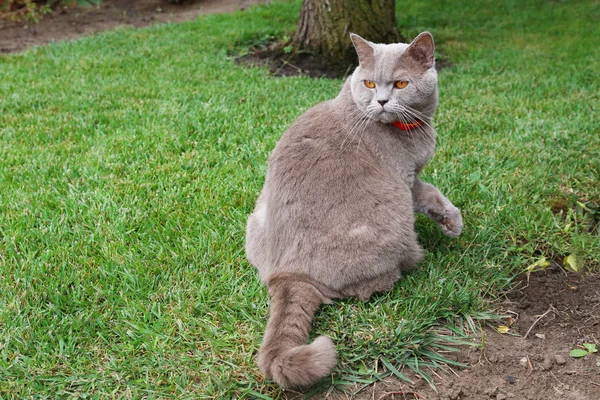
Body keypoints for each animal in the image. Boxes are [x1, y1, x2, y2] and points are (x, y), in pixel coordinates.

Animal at [246, 32, 462, 390]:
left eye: (401, 83)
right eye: (370, 83)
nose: (382, 101)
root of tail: (286, 273)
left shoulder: (412, 178)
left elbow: (430, 191)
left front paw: (451, 220)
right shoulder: (402, 179)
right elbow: (424, 191)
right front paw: (450, 222)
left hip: (255, 217)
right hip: (392, 215)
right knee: (364, 287)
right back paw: (411, 263)